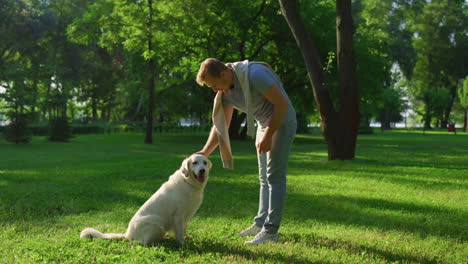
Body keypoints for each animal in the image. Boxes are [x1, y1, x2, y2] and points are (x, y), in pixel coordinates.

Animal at [80, 154, 212, 246]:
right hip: (157, 222)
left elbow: (184, 229)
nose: (202, 170)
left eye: (205, 163)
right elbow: (179, 232)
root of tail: (128, 234)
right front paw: (182, 244)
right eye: (194, 163)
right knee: (142, 242)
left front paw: (187, 238)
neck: (188, 182)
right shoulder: (178, 216)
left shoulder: (186, 216)